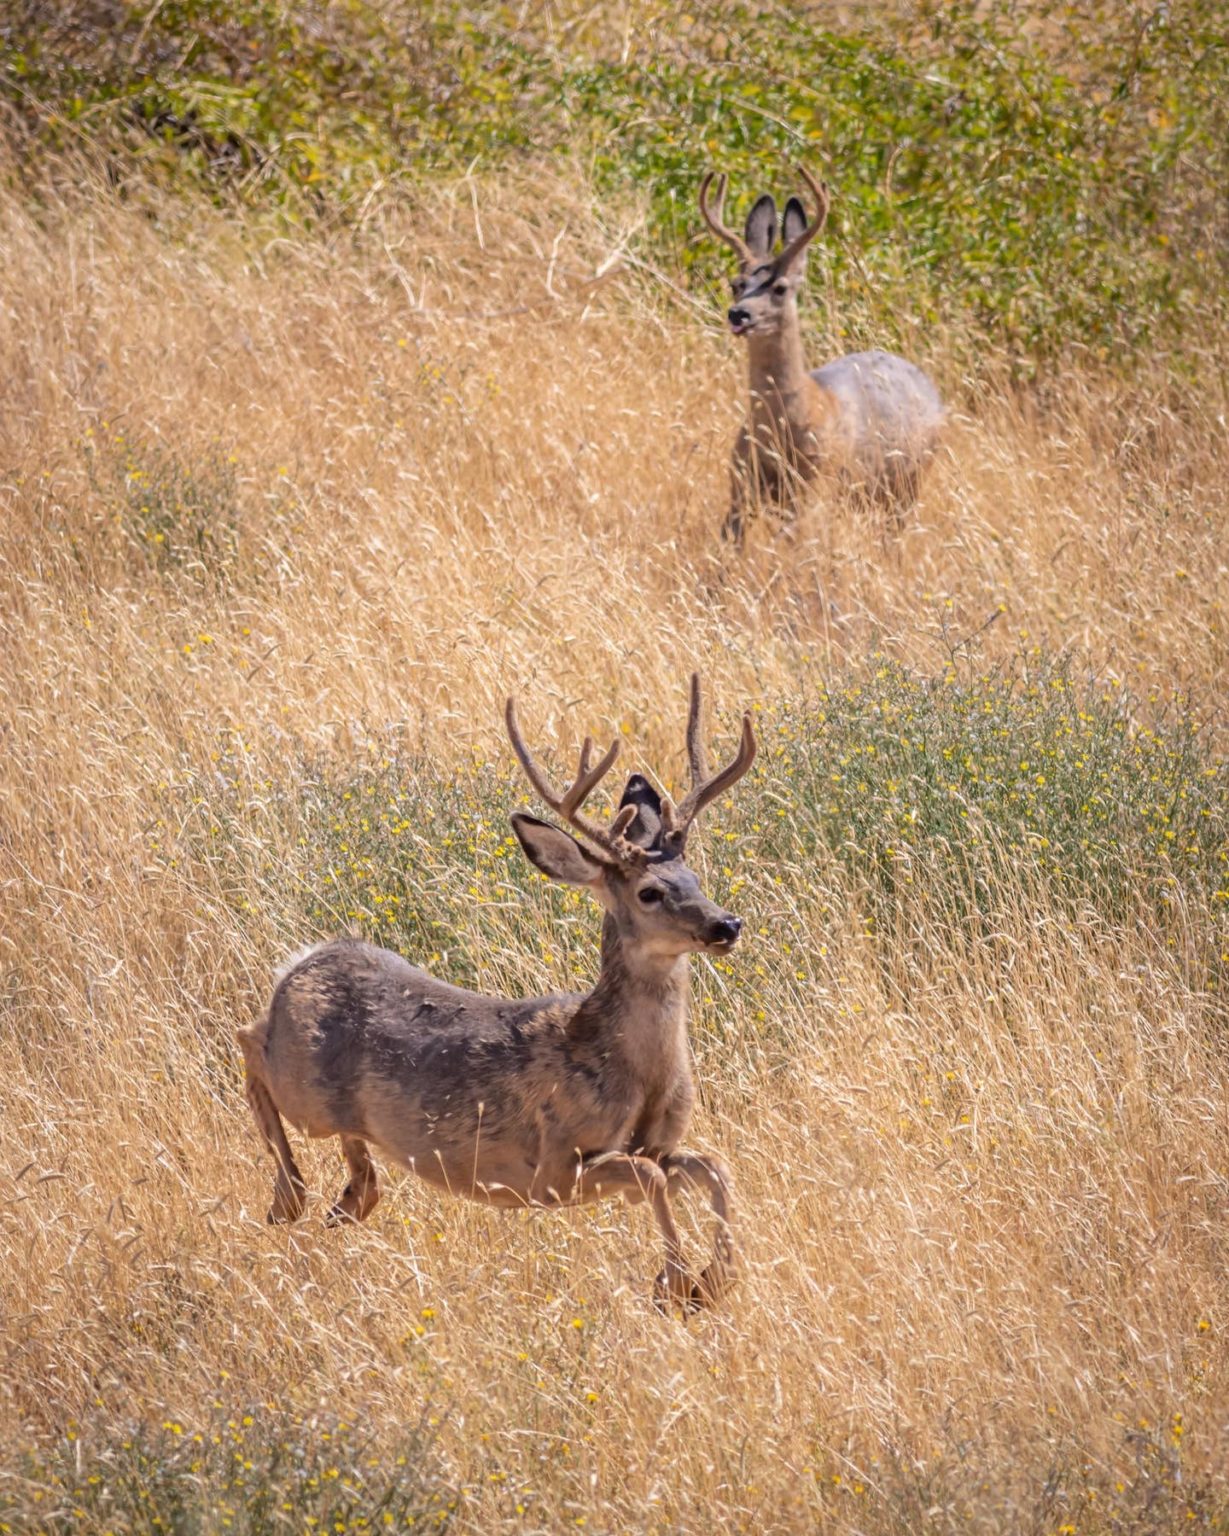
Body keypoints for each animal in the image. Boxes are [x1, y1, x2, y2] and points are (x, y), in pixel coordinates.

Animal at [238, 678, 758, 1314]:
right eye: (650, 892)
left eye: (697, 879)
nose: (726, 925)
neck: (629, 1069)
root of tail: (301, 963)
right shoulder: (554, 1167)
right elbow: (654, 1179)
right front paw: (676, 1284)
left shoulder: (657, 1146)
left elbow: (715, 1164)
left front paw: (712, 1281)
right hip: (303, 1085)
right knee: (247, 1042)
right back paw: (290, 1197)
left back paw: (353, 1195)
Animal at [697, 163, 946, 540]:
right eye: (736, 284)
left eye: (780, 288)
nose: (738, 314)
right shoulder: (741, 483)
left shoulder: (817, 481)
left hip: (910, 479)